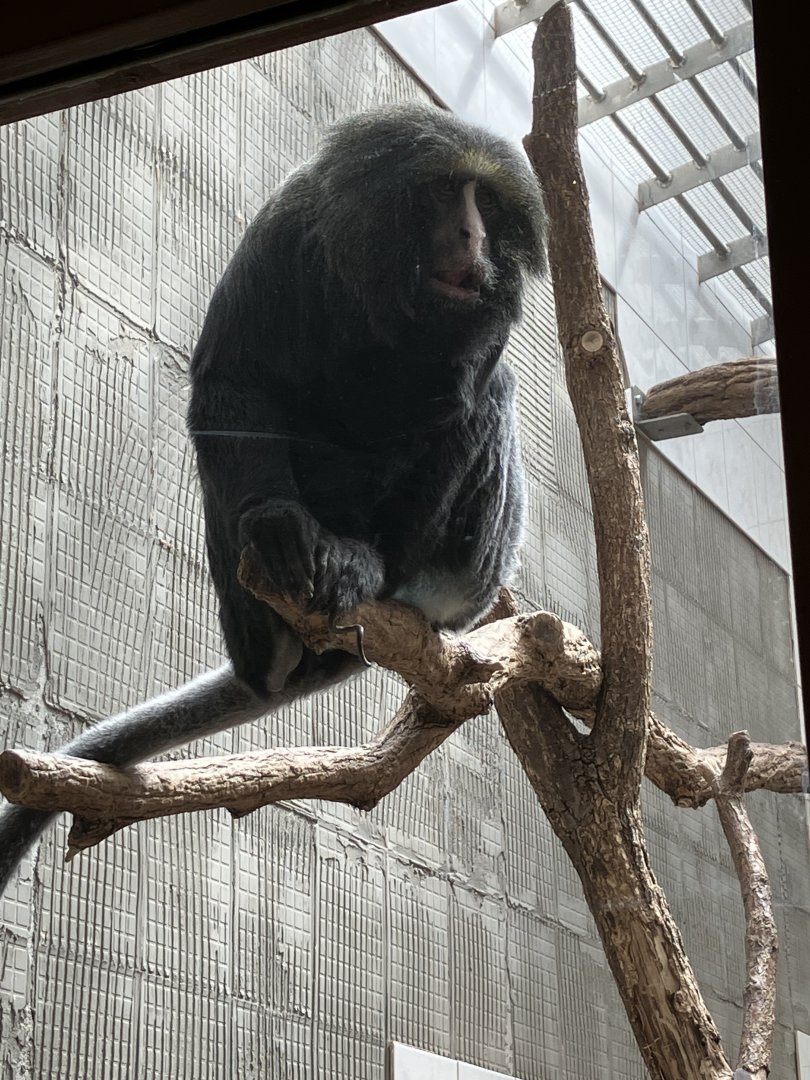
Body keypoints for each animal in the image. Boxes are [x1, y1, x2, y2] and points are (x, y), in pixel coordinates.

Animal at [0, 103, 546, 895]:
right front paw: (283, 528)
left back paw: (370, 581)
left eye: (492, 204)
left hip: (466, 566)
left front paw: (358, 563)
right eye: (448, 192)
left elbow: (464, 393)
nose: (475, 238)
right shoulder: (285, 231)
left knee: (486, 403)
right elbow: (233, 382)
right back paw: (271, 628)